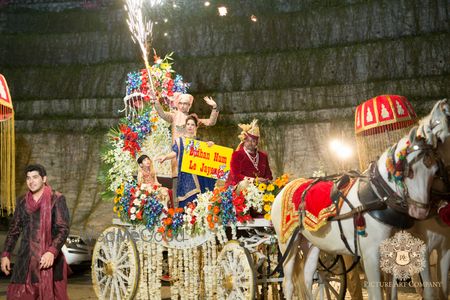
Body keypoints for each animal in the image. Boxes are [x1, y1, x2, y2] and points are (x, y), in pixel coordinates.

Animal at [270, 99, 450, 298]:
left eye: (435, 171)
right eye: (409, 171)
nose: (420, 211)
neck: (379, 198)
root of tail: (286, 187)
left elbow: (392, 292)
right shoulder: (371, 255)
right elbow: (377, 293)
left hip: (311, 243)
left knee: (308, 277)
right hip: (287, 244)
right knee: (288, 284)